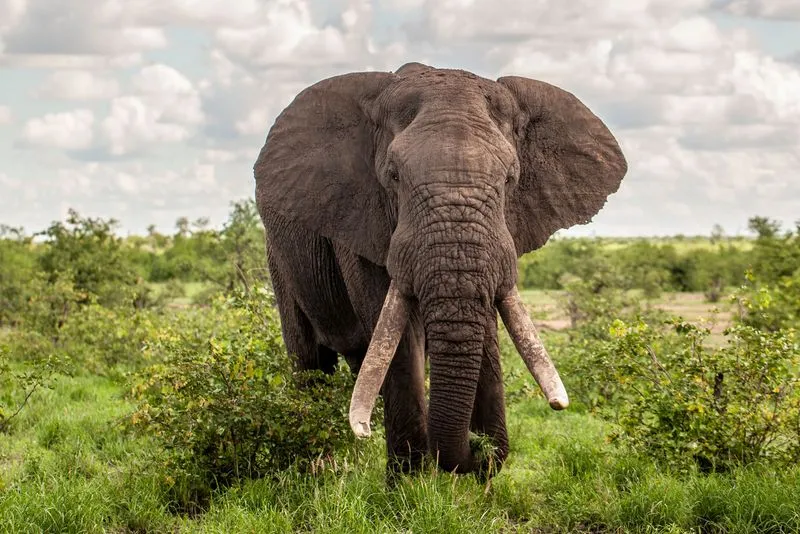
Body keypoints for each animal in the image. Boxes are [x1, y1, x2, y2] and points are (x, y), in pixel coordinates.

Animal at [254, 62, 627, 478]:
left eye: (510, 179)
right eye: (394, 176)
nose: (475, 451)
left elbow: (486, 325)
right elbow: (398, 339)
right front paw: (409, 480)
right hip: (279, 259)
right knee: (309, 363)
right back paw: (322, 468)